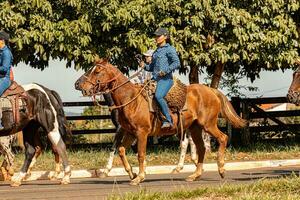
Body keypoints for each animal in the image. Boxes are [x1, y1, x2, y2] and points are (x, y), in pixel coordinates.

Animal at [75, 59, 246, 186]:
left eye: (97, 70)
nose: (78, 84)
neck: (131, 99)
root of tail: (212, 91)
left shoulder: (141, 133)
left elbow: (141, 154)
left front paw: (139, 177)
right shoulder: (130, 132)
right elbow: (121, 150)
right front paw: (132, 173)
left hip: (208, 124)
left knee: (222, 138)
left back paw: (221, 169)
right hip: (195, 128)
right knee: (201, 148)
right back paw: (194, 175)